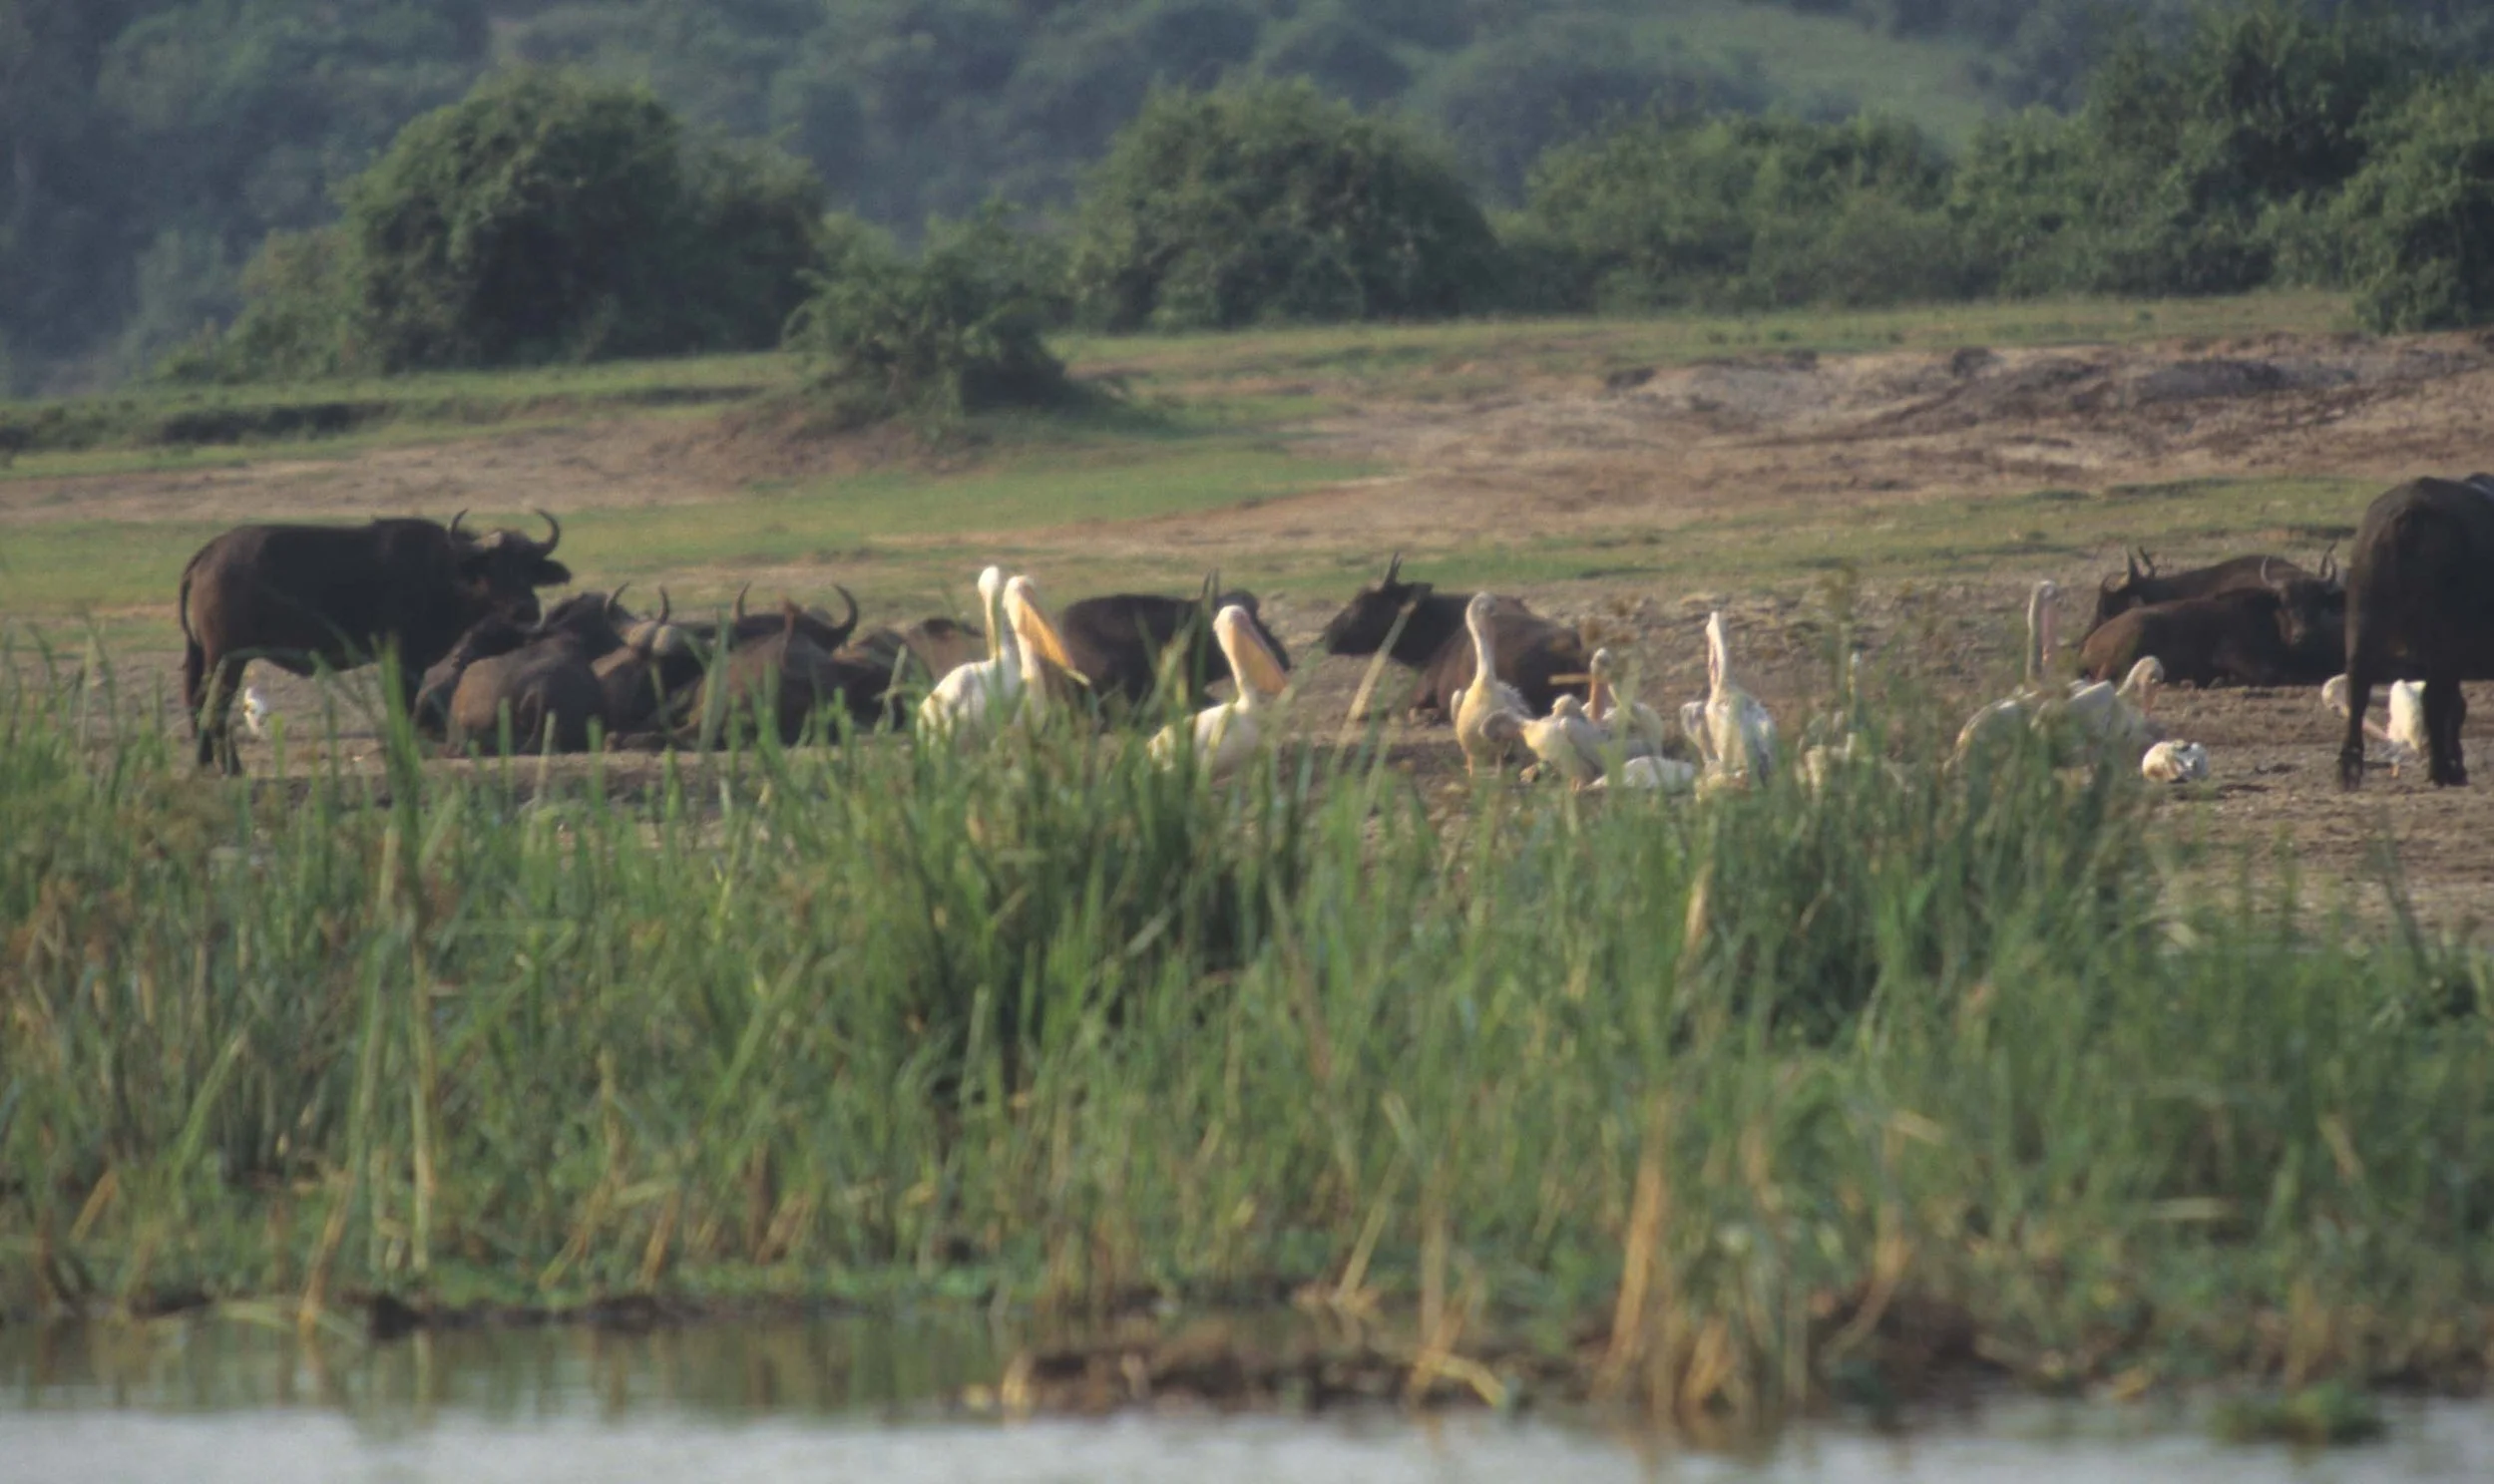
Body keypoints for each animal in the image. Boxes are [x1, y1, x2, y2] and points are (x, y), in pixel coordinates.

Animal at [179, 511, 570, 769]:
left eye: (529, 567)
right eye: (494, 567)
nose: (526, 609)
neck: (444, 575)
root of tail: (208, 554)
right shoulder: (404, 658)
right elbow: (403, 704)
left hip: (203, 655)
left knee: (196, 699)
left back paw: (204, 762)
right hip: (227, 656)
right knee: (211, 702)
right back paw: (230, 767)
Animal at [2339, 474, 2494, 788]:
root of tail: (2411, 513)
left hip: (2363, 613)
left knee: (2357, 685)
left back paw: (2349, 769)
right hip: (2445, 635)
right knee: (2435, 698)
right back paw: (2441, 769)